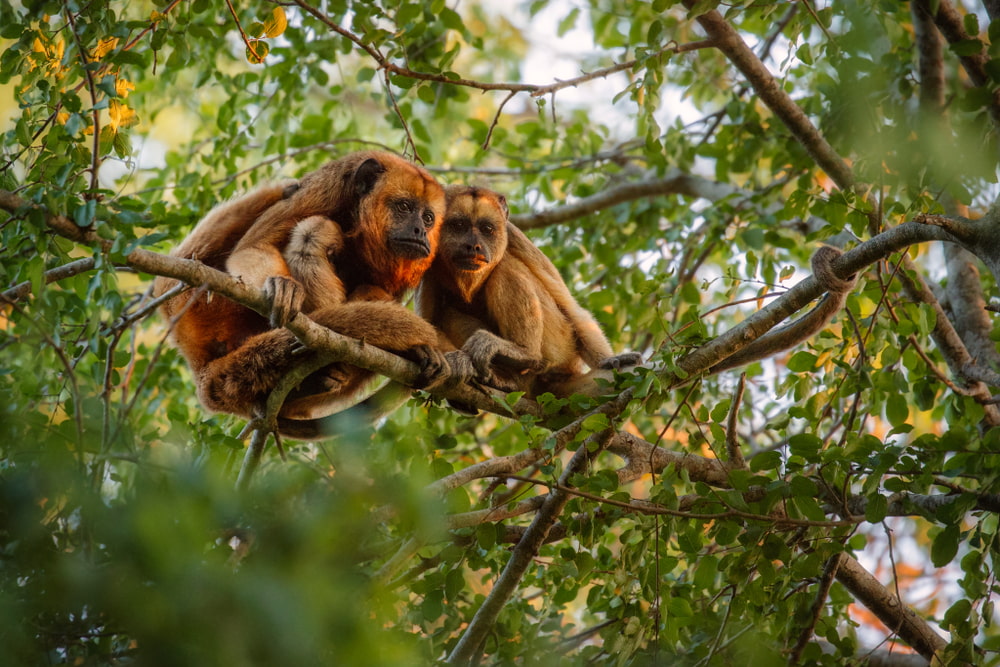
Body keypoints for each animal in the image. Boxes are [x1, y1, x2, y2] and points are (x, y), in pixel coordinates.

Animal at [153, 151, 450, 434]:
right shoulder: (327, 188)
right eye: (404, 207)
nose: (420, 231)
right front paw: (281, 286)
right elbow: (253, 247)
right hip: (199, 302)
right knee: (309, 227)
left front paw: (419, 349)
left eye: (428, 218)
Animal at [415, 184, 642, 399]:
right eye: (458, 226)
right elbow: (429, 324)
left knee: (506, 267)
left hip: (561, 345)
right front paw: (440, 358)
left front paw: (609, 360)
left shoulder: (514, 235)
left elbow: (569, 306)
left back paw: (525, 354)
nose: (474, 246)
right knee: (447, 312)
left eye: (487, 229)